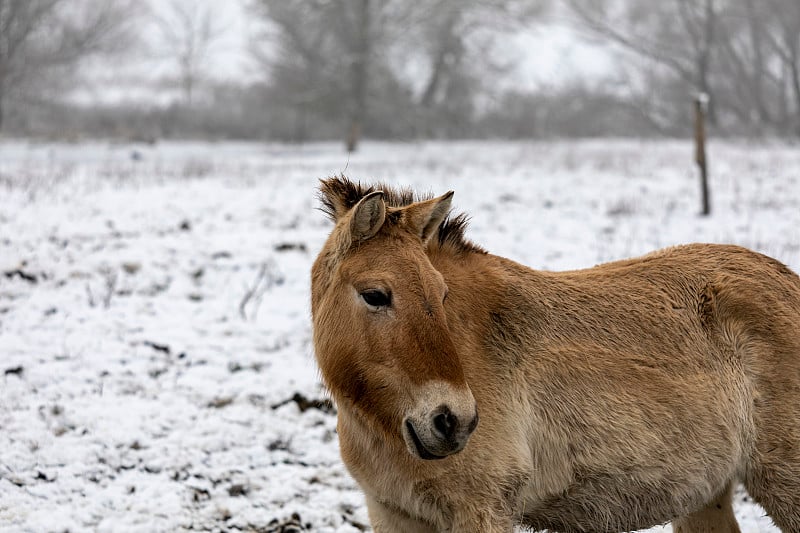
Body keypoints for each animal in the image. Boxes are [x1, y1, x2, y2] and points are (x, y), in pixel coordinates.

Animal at [308, 176, 800, 532]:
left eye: (441, 295)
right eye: (375, 295)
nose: (453, 421)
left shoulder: (483, 512)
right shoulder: (395, 514)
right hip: (706, 493)